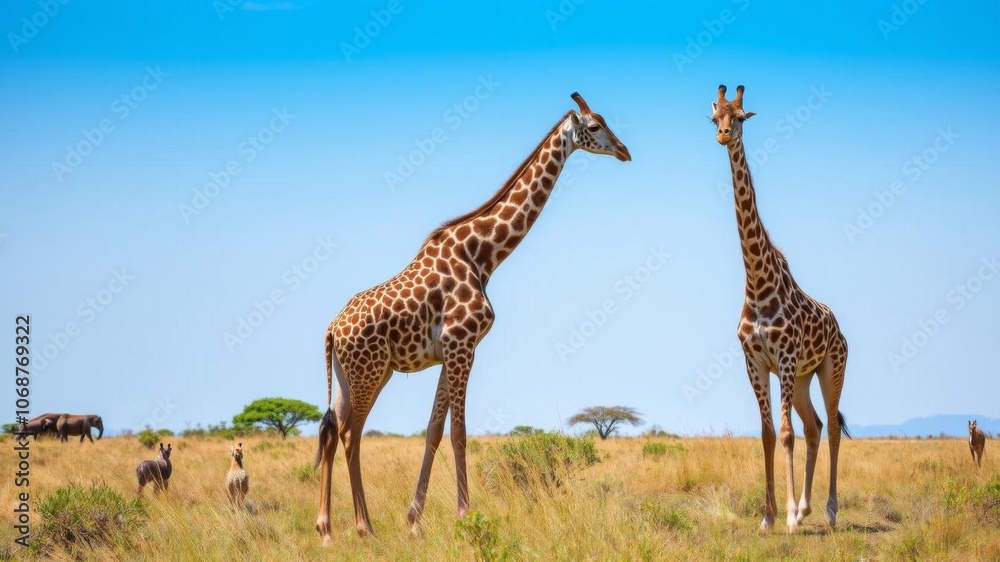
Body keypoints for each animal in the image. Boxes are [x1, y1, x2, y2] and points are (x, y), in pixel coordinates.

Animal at [314, 92, 630, 545]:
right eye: (594, 125)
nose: (624, 151)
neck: (483, 255)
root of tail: (331, 329)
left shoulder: (451, 352)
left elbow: (433, 431)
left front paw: (415, 521)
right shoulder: (462, 345)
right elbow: (459, 433)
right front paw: (464, 516)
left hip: (350, 373)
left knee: (329, 429)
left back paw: (326, 529)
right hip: (369, 371)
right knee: (349, 434)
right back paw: (364, 527)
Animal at [710, 84, 850, 531]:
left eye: (740, 117)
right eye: (715, 116)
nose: (723, 135)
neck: (757, 281)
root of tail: (840, 328)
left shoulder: (785, 359)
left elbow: (786, 434)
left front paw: (786, 516)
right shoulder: (755, 361)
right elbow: (769, 433)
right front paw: (770, 517)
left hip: (830, 368)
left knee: (831, 427)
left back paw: (828, 510)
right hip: (805, 378)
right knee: (815, 426)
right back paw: (806, 508)